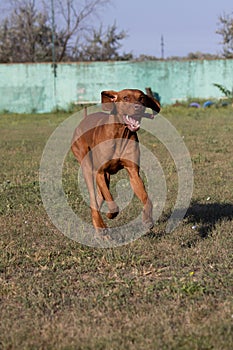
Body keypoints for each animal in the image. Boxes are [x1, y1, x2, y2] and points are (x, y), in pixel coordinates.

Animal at [71, 89, 160, 234]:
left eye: (141, 98)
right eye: (125, 98)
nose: (139, 107)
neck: (120, 133)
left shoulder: (133, 172)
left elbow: (147, 199)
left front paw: (147, 219)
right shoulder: (100, 172)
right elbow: (111, 201)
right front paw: (111, 213)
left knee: (99, 198)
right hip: (86, 164)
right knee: (94, 198)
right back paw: (101, 227)